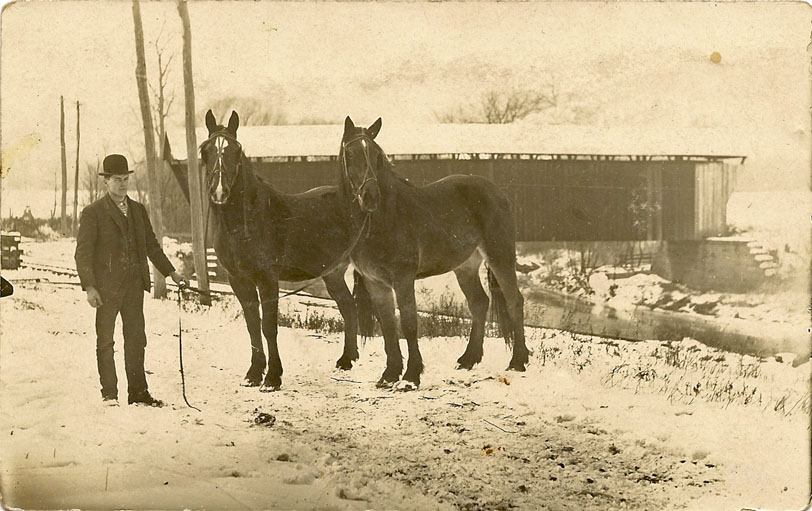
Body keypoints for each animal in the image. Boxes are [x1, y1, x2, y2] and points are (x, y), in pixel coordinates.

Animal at [201, 111, 366, 392]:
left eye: (235, 150)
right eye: (206, 150)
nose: (219, 191)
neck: (247, 221)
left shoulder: (267, 279)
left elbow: (269, 327)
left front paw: (272, 378)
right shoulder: (239, 280)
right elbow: (252, 326)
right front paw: (253, 374)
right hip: (333, 274)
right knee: (349, 307)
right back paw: (347, 360)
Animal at [340, 116, 528, 388]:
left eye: (376, 154)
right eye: (350, 153)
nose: (370, 196)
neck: (384, 217)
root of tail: (495, 191)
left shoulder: (403, 279)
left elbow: (408, 324)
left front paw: (411, 376)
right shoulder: (376, 282)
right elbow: (387, 326)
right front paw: (389, 374)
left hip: (500, 256)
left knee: (514, 301)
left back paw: (518, 361)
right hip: (466, 266)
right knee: (479, 303)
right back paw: (468, 359)